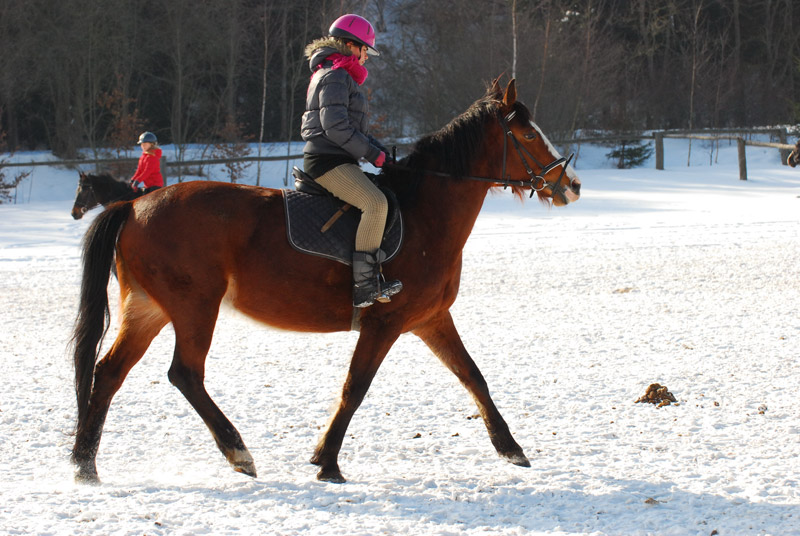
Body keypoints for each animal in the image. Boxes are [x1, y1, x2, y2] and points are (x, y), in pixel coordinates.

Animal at [70, 79, 580, 486]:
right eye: (528, 134)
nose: (571, 185)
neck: (425, 214)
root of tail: (134, 206)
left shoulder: (430, 318)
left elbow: (473, 376)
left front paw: (510, 447)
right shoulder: (384, 323)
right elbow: (355, 387)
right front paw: (328, 462)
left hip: (149, 308)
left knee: (108, 372)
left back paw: (85, 465)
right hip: (195, 307)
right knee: (184, 374)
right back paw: (238, 452)